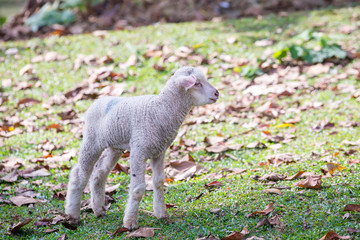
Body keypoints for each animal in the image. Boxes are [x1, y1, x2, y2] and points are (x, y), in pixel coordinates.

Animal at [64, 65, 219, 229]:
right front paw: (130, 222)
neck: (161, 110)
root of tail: (97, 101)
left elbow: (159, 182)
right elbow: (138, 189)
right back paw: (72, 215)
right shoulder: (139, 151)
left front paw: (162, 214)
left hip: (114, 147)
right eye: (197, 83)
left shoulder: (159, 151)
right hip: (92, 141)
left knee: (99, 172)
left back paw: (99, 210)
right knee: (79, 174)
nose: (217, 93)